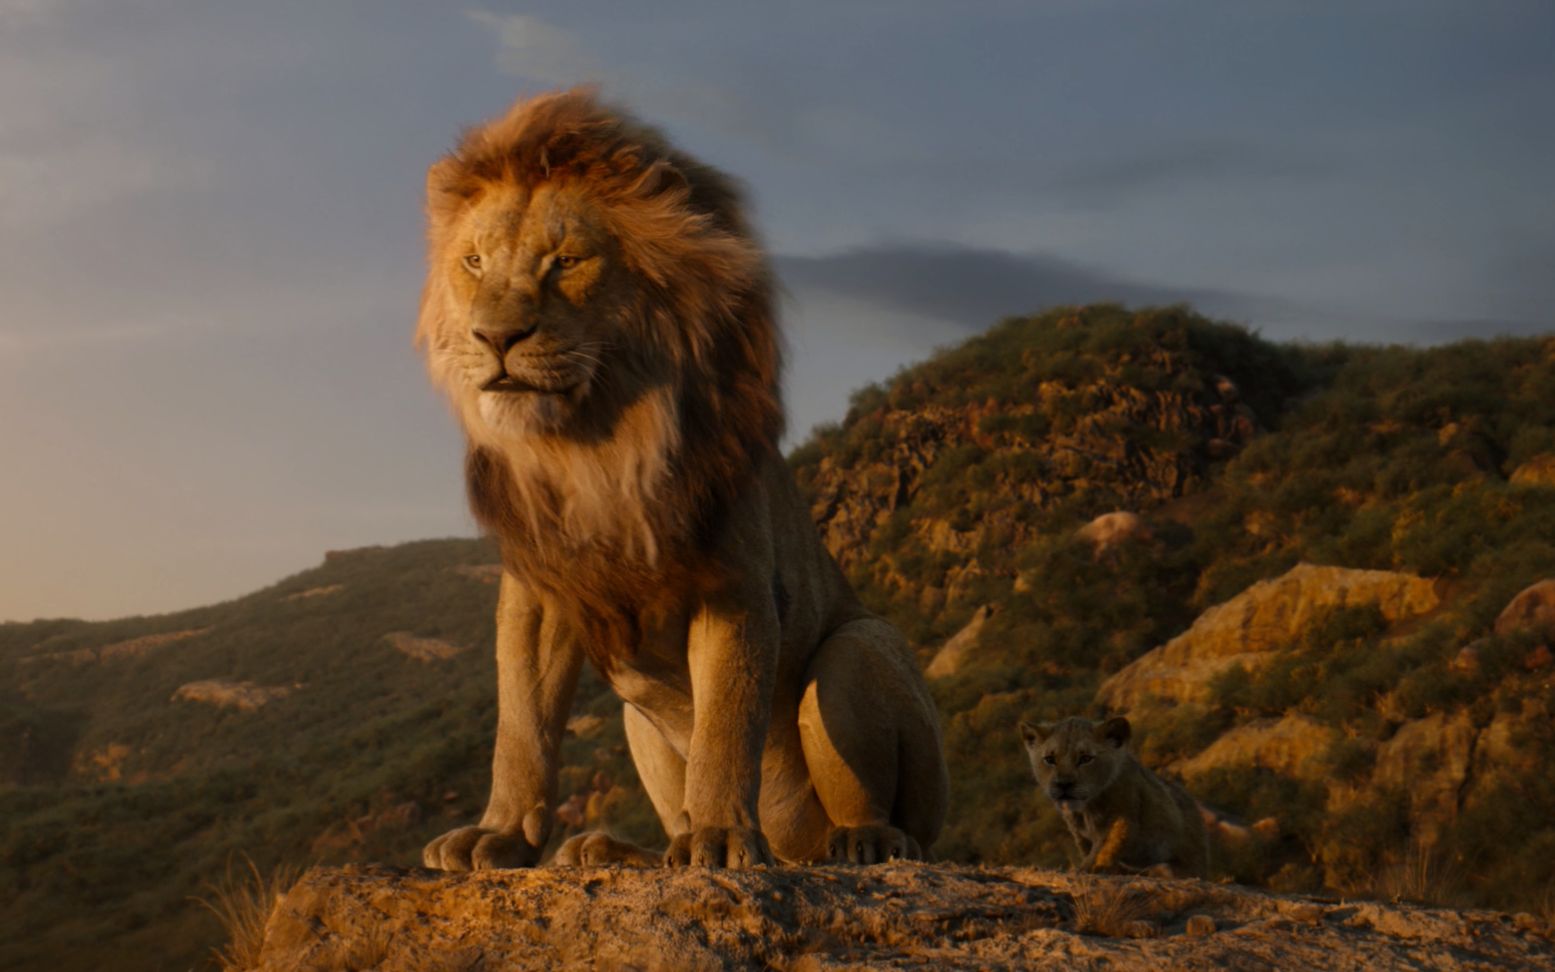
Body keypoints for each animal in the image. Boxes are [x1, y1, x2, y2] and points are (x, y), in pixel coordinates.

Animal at [415, 89, 949, 870]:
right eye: (474, 262)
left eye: (566, 260)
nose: (495, 338)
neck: (594, 446)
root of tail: (793, 848)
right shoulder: (539, 591)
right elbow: (521, 726)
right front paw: (501, 834)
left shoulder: (735, 584)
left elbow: (725, 724)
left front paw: (720, 837)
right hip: (637, 717)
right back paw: (611, 850)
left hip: (860, 650)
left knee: (896, 819)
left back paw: (863, 840)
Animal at [1019, 716, 1209, 878]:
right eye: (1050, 759)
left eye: (1085, 758)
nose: (1063, 784)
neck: (1086, 809)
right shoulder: (1080, 833)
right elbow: (1091, 851)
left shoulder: (1123, 820)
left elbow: (1105, 849)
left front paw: (1087, 869)